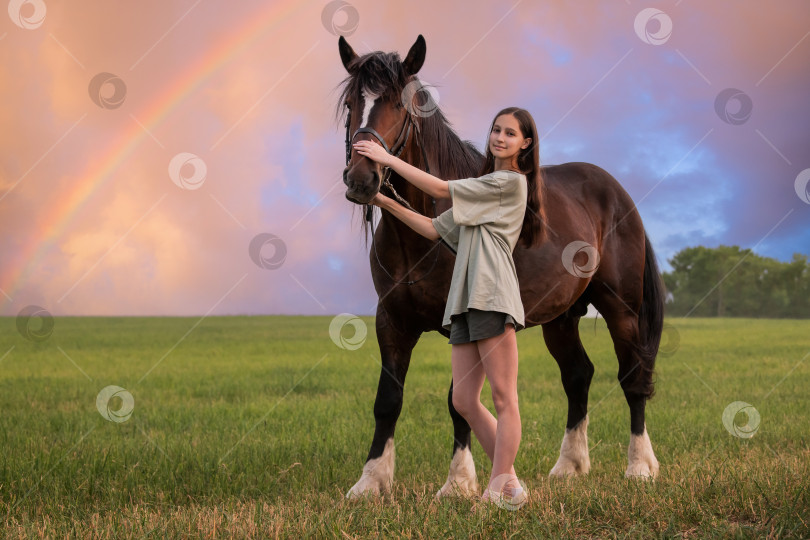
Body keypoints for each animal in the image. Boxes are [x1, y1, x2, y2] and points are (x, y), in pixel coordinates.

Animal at [334, 34, 664, 498]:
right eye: (351, 104)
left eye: (401, 104)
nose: (361, 180)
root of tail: (616, 192)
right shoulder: (391, 321)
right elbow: (388, 401)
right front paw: (371, 482)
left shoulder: (461, 323)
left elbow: (459, 402)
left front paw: (458, 483)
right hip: (561, 318)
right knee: (578, 375)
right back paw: (570, 465)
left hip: (623, 310)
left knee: (633, 377)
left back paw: (640, 466)